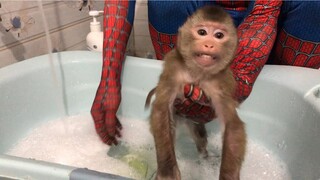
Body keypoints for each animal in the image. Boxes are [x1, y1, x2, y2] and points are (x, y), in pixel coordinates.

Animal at [150, 4, 248, 179]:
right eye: (202, 32)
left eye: (219, 35)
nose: (209, 44)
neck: (197, 72)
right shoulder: (174, 69)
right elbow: (161, 111)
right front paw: (167, 172)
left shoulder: (220, 83)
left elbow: (233, 126)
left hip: (193, 120)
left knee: (200, 137)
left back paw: (204, 157)